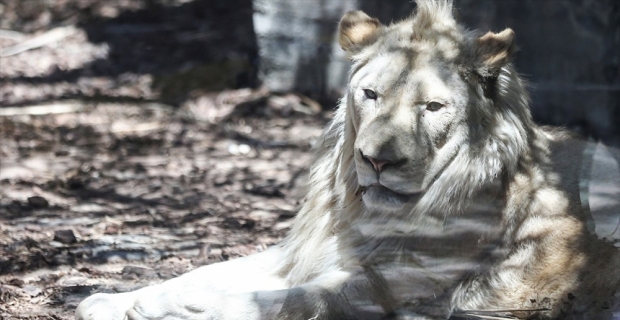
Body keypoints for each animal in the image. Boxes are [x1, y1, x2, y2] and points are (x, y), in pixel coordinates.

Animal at [78, 0, 620, 318]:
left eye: (432, 107)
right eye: (371, 94)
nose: (376, 161)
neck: (363, 212)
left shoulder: (395, 289)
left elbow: (288, 300)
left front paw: (191, 308)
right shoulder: (302, 253)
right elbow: (207, 270)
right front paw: (112, 301)